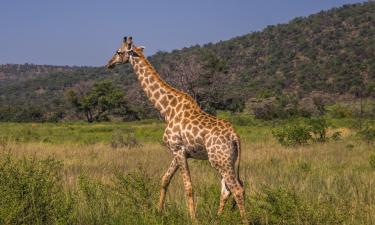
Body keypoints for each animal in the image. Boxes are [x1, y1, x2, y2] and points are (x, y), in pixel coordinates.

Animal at [106, 37, 247, 223]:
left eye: (119, 52)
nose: (109, 63)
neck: (167, 109)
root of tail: (235, 136)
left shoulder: (177, 149)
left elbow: (188, 187)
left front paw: (193, 219)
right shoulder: (179, 151)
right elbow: (164, 179)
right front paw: (158, 212)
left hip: (220, 160)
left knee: (236, 188)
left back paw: (245, 220)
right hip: (227, 160)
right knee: (228, 189)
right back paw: (217, 219)